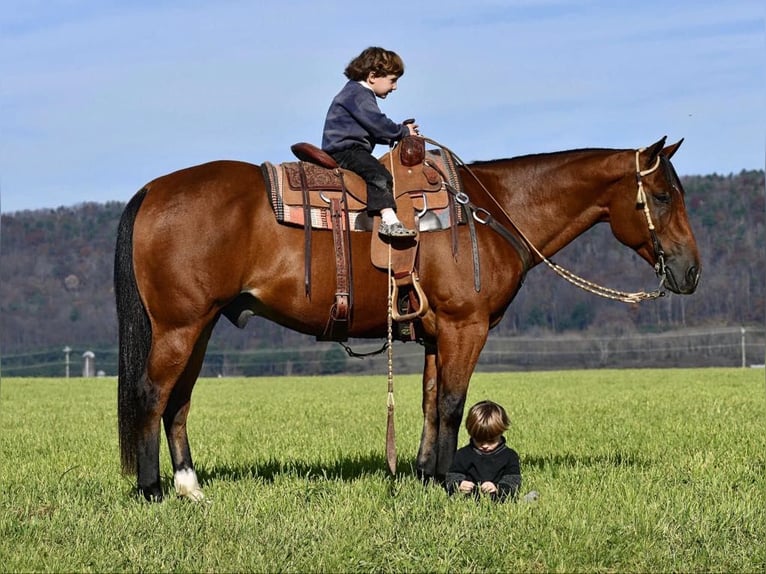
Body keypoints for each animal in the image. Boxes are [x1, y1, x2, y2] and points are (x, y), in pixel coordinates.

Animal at [112, 136, 704, 504]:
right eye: (660, 195)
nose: (691, 271)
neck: (492, 211)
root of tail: (153, 190)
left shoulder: (438, 335)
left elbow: (429, 402)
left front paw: (423, 475)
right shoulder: (467, 327)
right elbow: (453, 405)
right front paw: (447, 482)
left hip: (202, 326)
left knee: (178, 402)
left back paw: (190, 486)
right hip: (181, 327)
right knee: (152, 394)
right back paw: (152, 490)